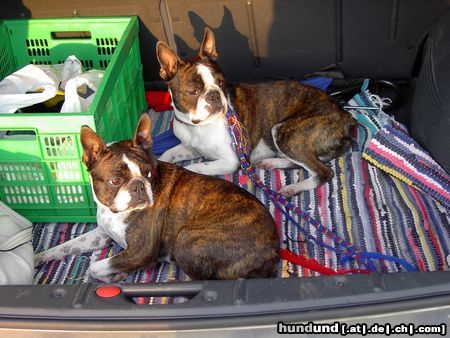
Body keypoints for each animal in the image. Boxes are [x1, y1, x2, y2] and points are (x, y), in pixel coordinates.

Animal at [158, 28, 356, 197]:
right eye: (193, 92)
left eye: (221, 83)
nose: (214, 94)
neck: (199, 127)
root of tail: (344, 115)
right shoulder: (189, 148)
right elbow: (167, 154)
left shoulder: (230, 161)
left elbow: (193, 168)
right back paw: (272, 162)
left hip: (285, 132)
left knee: (323, 171)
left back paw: (294, 187)